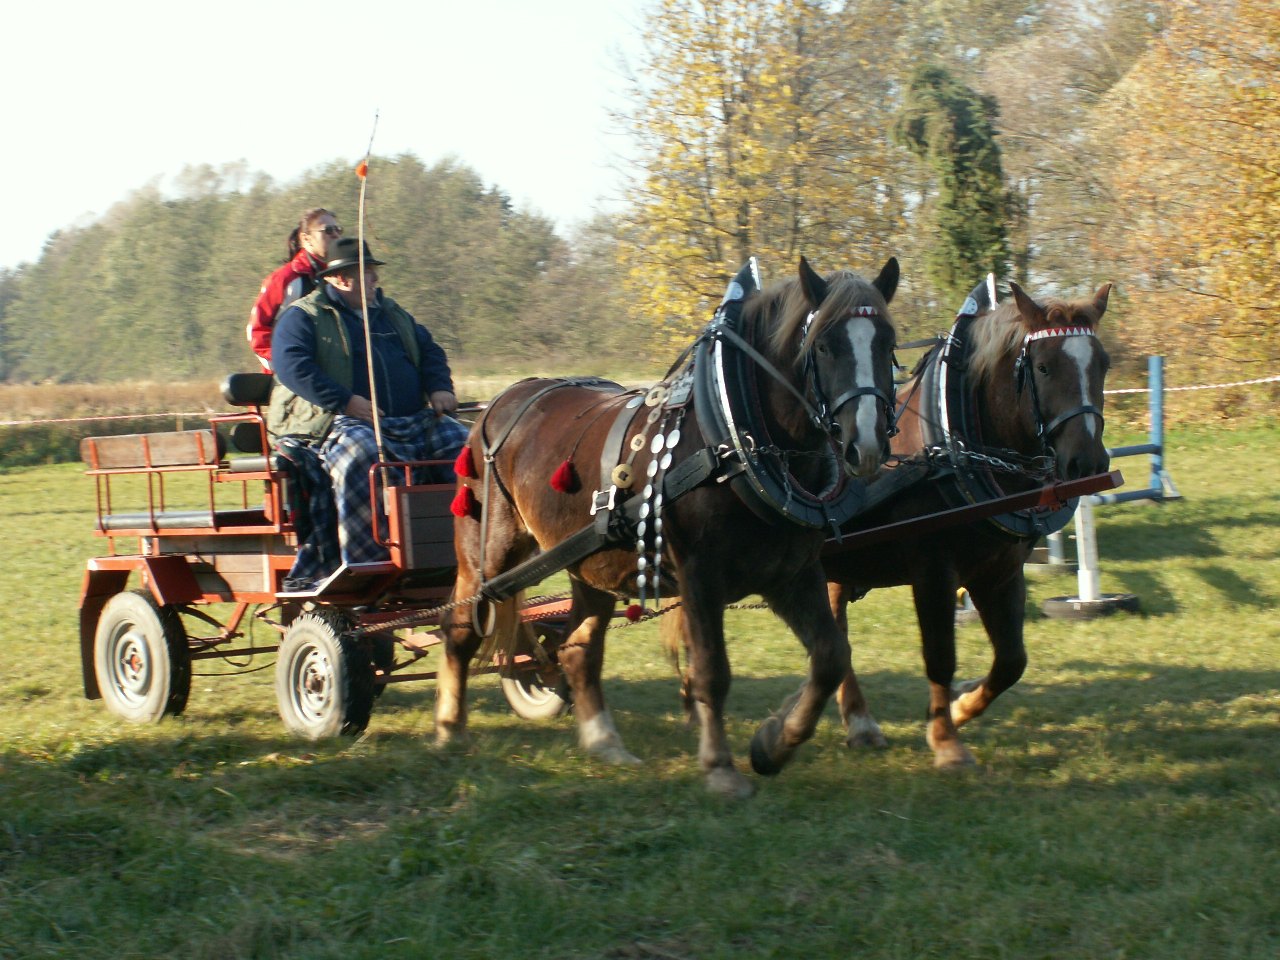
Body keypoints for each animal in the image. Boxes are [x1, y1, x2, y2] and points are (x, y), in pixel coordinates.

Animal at [440, 256, 901, 798]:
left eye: (888, 343)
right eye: (825, 346)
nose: (865, 445)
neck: (732, 438)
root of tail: (496, 404)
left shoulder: (792, 572)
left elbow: (830, 657)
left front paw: (774, 742)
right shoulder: (701, 574)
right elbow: (712, 671)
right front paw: (721, 767)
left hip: (589, 565)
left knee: (578, 650)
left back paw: (604, 742)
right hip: (487, 554)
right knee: (460, 629)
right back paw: (450, 729)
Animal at [829, 277, 1111, 768]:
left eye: (1104, 365)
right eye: (1042, 367)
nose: (1088, 463)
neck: (956, 449)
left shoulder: (1000, 572)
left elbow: (1012, 661)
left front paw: (960, 708)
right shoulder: (932, 571)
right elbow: (940, 653)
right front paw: (946, 740)